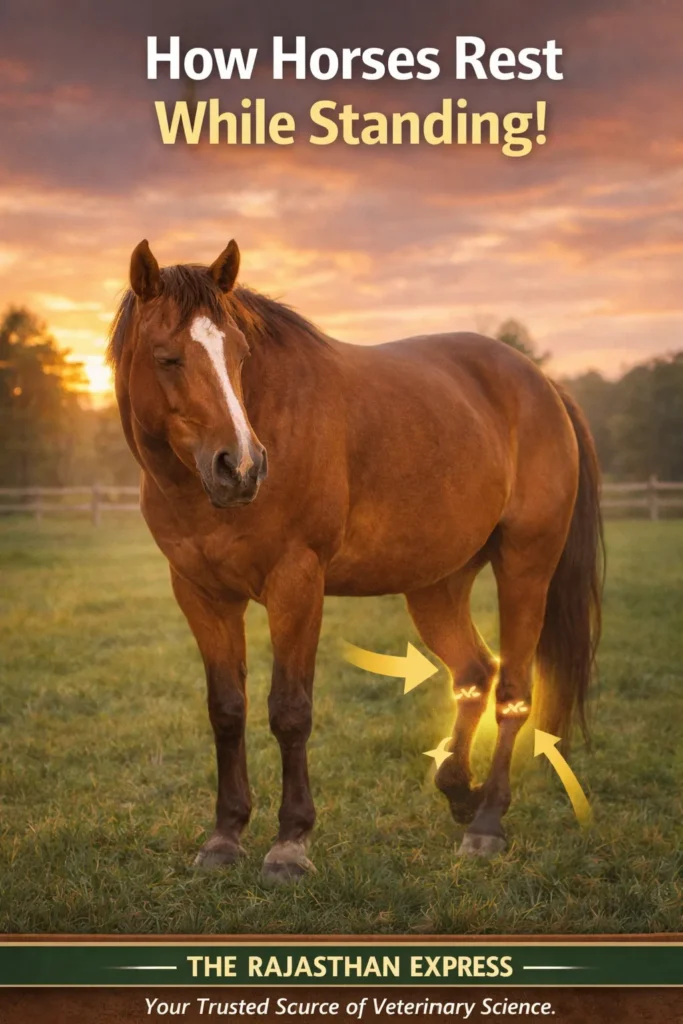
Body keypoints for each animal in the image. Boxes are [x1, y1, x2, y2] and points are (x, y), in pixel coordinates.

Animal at [108, 239, 603, 882]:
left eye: (241, 355)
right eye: (167, 357)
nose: (241, 467)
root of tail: (541, 383)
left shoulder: (296, 583)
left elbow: (289, 711)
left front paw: (290, 843)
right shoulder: (201, 594)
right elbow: (227, 710)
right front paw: (224, 836)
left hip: (526, 567)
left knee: (514, 689)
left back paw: (488, 822)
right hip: (437, 585)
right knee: (474, 673)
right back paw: (460, 792)